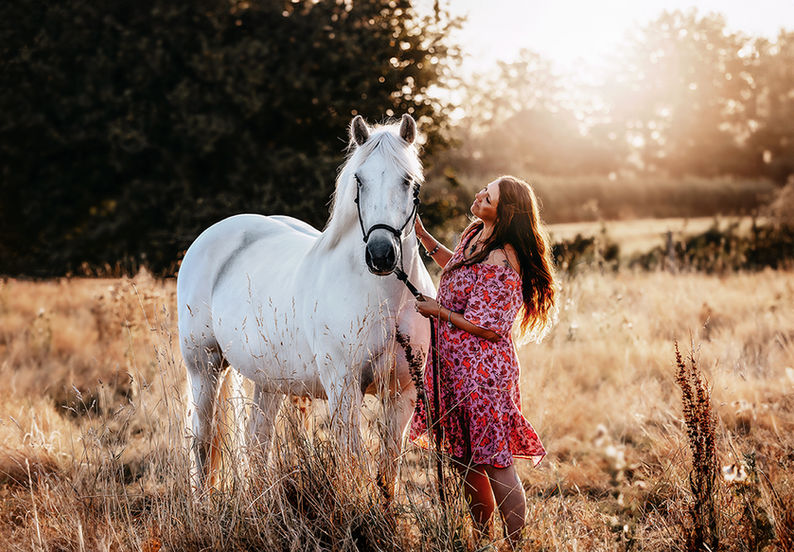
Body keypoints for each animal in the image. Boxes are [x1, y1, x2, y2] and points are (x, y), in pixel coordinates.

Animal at [176, 114, 434, 498]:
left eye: (408, 180)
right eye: (359, 180)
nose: (381, 255)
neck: (385, 299)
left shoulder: (401, 393)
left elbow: (388, 472)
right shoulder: (343, 388)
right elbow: (352, 461)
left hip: (268, 380)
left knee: (257, 440)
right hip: (204, 367)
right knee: (202, 442)